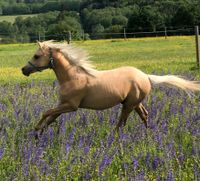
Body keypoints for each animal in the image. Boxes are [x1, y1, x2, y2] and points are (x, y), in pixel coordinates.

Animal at [21, 41, 200, 134]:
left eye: (36, 56)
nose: (24, 70)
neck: (72, 77)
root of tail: (145, 76)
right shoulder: (62, 105)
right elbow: (50, 117)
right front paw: (38, 134)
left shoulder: (71, 106)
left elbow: (46, 113)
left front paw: (36, 129)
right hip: (134, 103)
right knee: (144, 115)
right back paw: (148, 134)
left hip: (129, 105)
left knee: (121, 123)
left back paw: (114, 139)